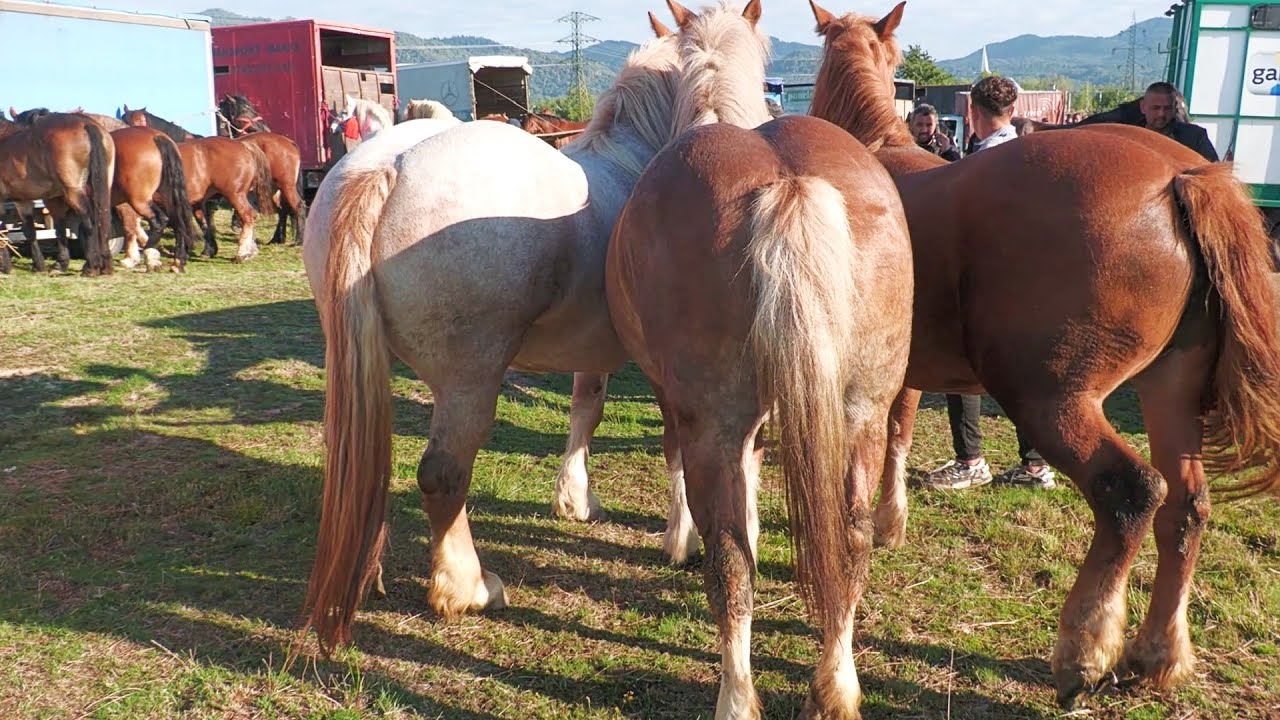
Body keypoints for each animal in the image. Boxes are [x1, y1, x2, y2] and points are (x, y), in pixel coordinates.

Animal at [0, 111, 115, 275]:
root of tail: (85, 123)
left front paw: (6, 266)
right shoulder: (22, 200)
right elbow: (30, 230)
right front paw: (39, 265)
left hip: (73, 191)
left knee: (88, 220)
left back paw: (91, 267)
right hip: (102, 186)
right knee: (101, 218)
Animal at [110, 126, 197, 271]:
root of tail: (155, 136)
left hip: (140, 201)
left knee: (159, 221)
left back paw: (150, 256)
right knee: (178, 222)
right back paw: (177, 262)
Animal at [297, 17, 686, 657]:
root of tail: (386, 166)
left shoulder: (594, 349)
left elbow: (587, 407)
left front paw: (576, 499)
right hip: (470, 380)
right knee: (443, 475)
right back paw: (467, 588)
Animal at [606, 3, 913, 716]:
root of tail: (787, 183)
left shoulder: (678, 405)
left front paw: (677, 539)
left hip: (711, 420)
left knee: (729, 564)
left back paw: (736, 696)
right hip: (862, 411)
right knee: (851, 538)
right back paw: (836, 685)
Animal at [808, 1, 1280, 709]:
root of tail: (1180, 176)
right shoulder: (904, 375)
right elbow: (899, 433)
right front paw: (892, 522)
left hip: (1047, 398)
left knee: (1131, 493)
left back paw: (1084, 651)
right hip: (1170, 390)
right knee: (1186, 508)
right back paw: (1157, 653)